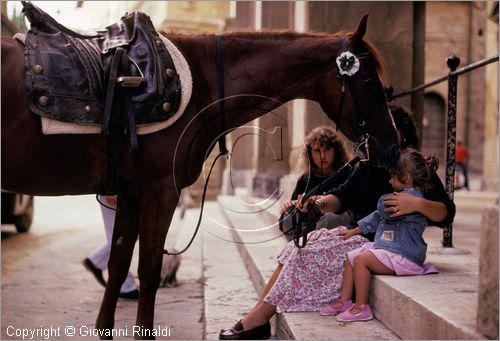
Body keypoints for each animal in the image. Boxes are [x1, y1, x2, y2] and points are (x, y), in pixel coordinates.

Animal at [1, 13, 396, 338]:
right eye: (370, 81)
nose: (393, 144)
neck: (202, 85)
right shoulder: (159, 191)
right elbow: (149, 269)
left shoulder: (129, 194)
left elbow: (119, 266)